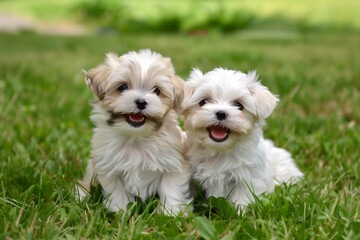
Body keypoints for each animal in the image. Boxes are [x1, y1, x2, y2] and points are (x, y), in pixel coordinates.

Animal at [78, 49, 191, 215]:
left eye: (157, 91)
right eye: (122, 87)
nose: (141, 102)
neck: (136, 137)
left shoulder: (173, 165)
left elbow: (171, 190)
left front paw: (170, 213)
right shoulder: (110, 168)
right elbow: (117, 193)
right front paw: (121, 213)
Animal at [181, 68, 302, 210]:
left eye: (239, 105)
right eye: (203, 102)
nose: (221, 113)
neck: (220, 151)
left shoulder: (248, 179)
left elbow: (242, 199)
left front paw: (239, 213)